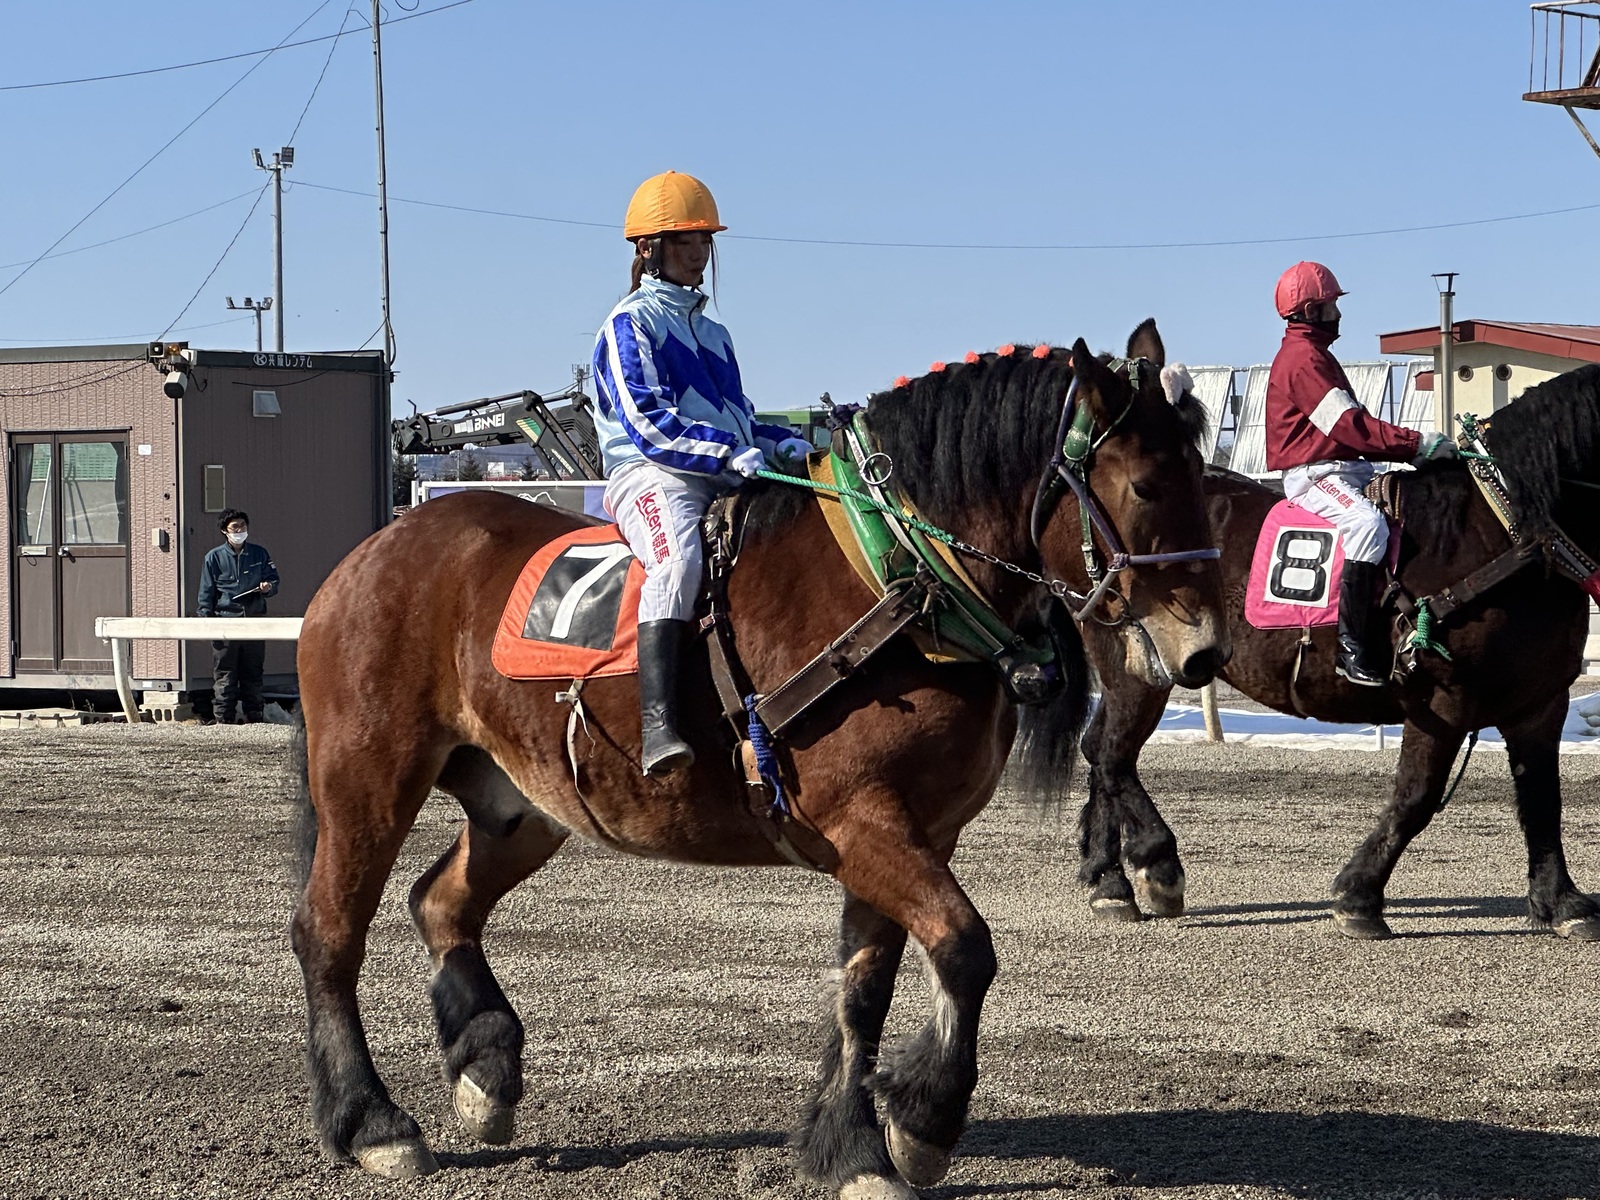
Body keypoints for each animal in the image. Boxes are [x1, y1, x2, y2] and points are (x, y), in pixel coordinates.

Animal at [288, 319, 1228, 1199]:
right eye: (1146, 484)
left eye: (1204, 481)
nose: (1205, 652)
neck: (894, 580)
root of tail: (380, 547)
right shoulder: (862, 824)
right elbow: (965, 948)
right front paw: (924, 1119)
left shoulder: (912, 833)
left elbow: (865, 987)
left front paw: (850, 1144)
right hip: (369, 779)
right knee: (328, 931)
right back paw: (370, 1120)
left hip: (524, 808)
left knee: (441, 903)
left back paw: (485, 1063)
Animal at [1076, 363, 1600, 941]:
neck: (1502, 536)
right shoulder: (1441, 701)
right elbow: (1416, 798)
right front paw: (1359, 894)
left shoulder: (1541, 703)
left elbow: (1543, 801)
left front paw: (1562, 901)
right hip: (1140, 672)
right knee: (1111, 753)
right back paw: (1150, 864)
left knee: (1101, 750)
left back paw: (1107, 878)